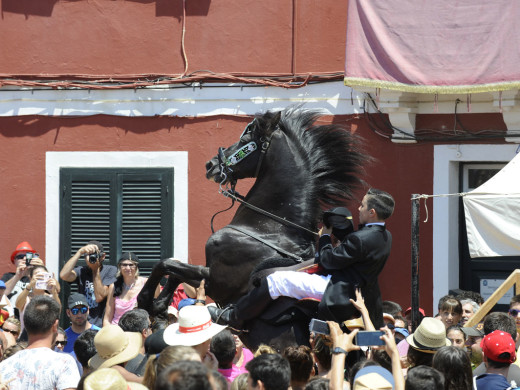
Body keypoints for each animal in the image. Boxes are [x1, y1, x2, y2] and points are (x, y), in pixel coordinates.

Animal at [138, 107, 366, 348]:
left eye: (246, 138)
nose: (211, 164)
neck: (268, 228)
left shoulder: (217, 282)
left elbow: (166, 264)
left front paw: (146, 301)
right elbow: (174, 270)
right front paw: (160, 306)